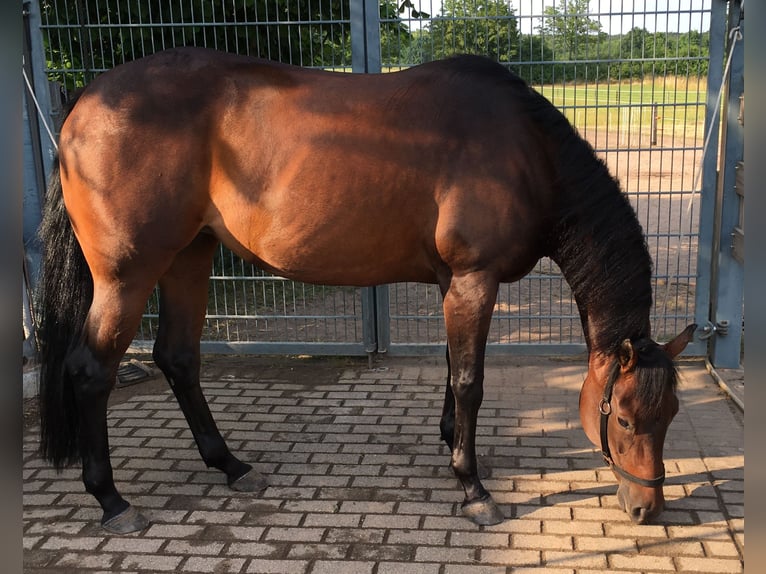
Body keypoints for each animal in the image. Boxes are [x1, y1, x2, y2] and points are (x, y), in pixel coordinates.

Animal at [36, 47, 695, 534]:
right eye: (627, 418)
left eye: (671, 415)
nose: (647, 509)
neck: (525, 151)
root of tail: (84, 103)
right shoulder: (475, 279)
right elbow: (470, 380)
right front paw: (473, 486)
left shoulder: (451, 282)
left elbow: (450, 369)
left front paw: (450, 442)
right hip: (127, 276)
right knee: (91, 371)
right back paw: (113, 501)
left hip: (188, 258)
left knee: (177, 358)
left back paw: (231, 465)